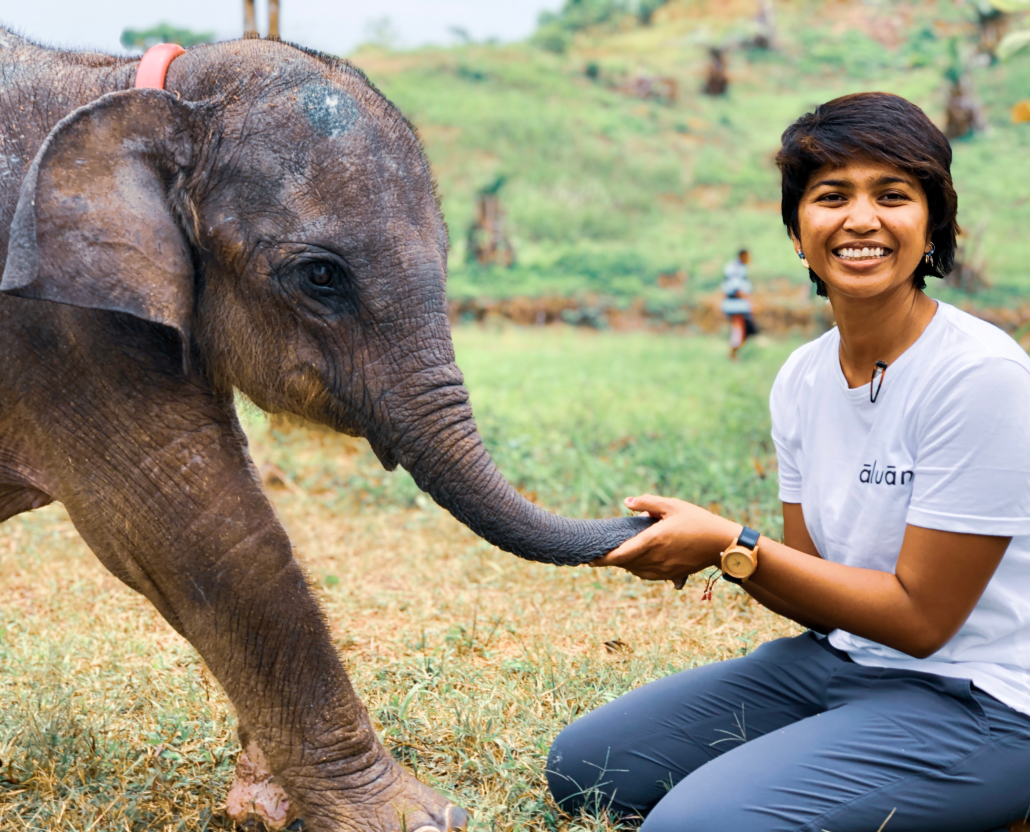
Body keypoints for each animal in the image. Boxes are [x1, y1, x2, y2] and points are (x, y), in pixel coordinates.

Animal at [0, 29, 642, 827]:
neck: (138, 92)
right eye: (321, 277)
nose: (645, 511)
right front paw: (417, 819)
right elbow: (205, 533)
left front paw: (264, 807)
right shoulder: (63, 330)